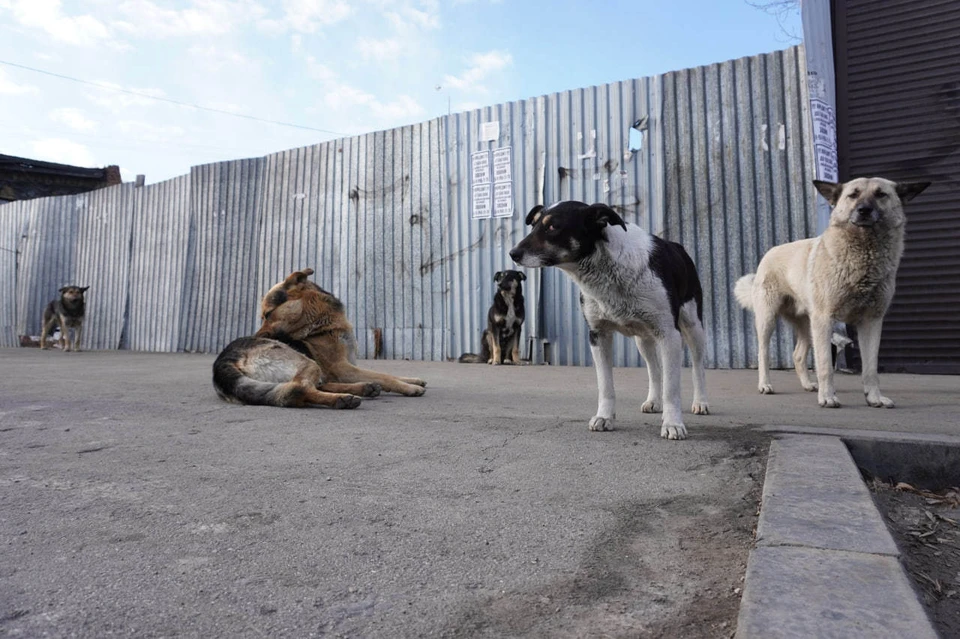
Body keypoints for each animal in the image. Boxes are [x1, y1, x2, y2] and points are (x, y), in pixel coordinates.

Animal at [216, 268, 430, 408]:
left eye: (267, 315)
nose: (255, 336)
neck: (322, 326)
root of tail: (223, 361)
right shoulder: (342, 368)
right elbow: (385, 376)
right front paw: (409, 388)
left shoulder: (349, 366)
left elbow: (385, 373)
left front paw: (412, 380)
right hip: (306, 362)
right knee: (296, 390)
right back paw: (341, 399)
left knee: (311, 385)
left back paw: (364, 388)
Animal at [510, 201, 704, 440]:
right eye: (534, 225)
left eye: (553, 226)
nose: (512, 253)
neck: (607, 267)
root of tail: (678, 247)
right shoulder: (598, 335)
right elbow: (606, 385)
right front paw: (604, 417)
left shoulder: (669, 334)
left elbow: (672, 388)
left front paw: (673, 424)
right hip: (643, 339)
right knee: (654, 368)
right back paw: (653, 401)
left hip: (693, 327)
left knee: (698, 366)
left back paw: (700, 402)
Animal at [736, 179, 928, 410]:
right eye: (853, 195)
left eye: (881, 194)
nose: (864, 210)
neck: (864, 251)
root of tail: (770, 252)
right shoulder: (824, 320)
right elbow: (826, 365)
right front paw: (828, 397)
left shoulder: (871, 322)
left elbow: (871, 369)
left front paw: (874, 397)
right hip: (769, 320)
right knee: (763, 352)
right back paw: (765, 385)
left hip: (808, 325)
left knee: (798, 355)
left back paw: (808, 384)